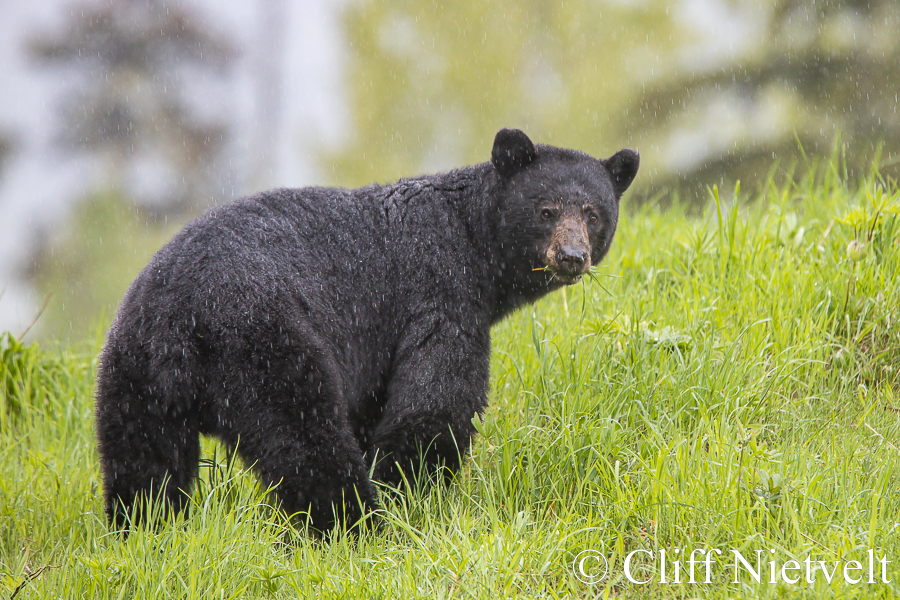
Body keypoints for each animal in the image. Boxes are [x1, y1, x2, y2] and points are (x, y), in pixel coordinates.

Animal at [95, 128, 639, 533]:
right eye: (546, 210)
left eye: (593, 214)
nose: (572, 256)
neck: (472, 242)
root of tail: (177, 323)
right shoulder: (437, 293)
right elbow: (432, 401)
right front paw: (412, 496)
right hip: (265, 344)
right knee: (305, 441)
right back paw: (357, 523)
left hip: (132, 373)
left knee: (144, 463)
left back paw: (147, 531)